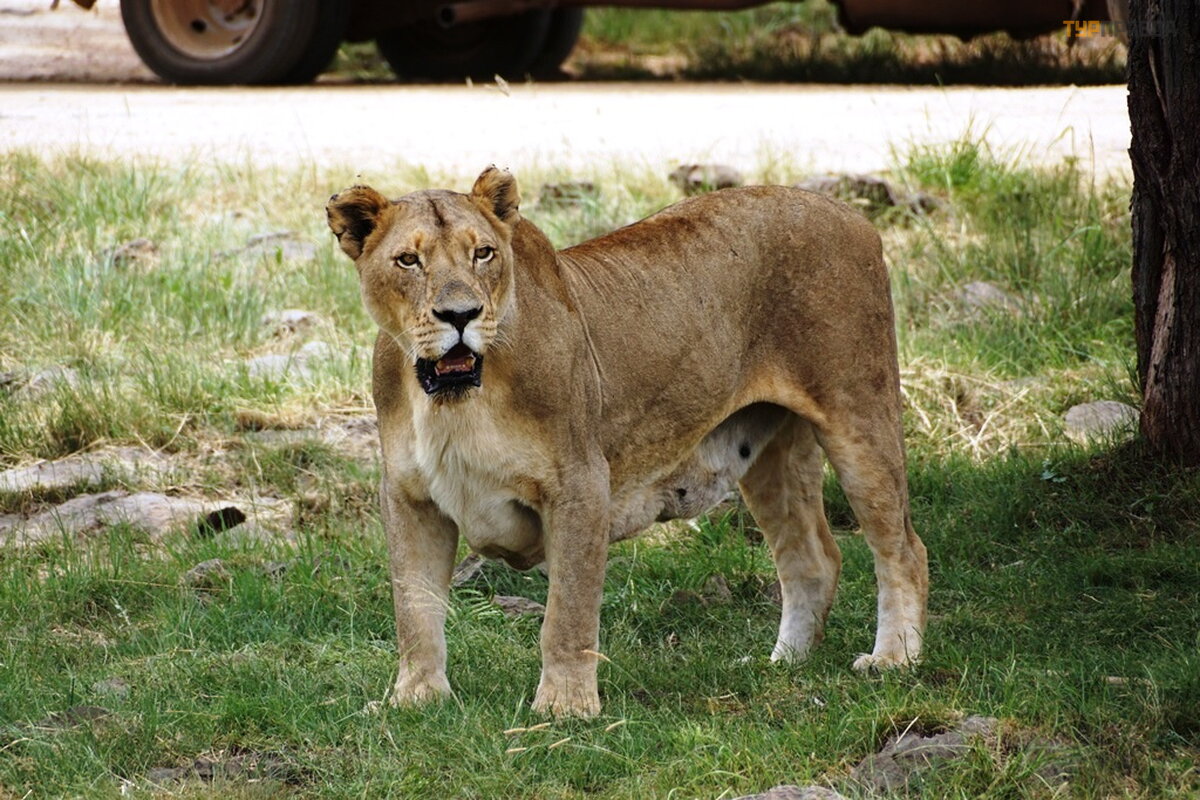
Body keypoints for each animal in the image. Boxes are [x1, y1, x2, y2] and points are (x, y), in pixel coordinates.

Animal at [326, 167, 928, 717]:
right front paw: (415, 700)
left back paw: (894, 659)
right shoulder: (410, 497)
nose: (460, 314)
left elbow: (566, 612)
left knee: (903, 548)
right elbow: (414, 607)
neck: (454, 404)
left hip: (859, 415)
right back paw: (783, 664)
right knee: (813, 558)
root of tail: (852, 216)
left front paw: (564, 708)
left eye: (484, 254)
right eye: (408, 261)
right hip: (771, 452)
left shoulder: (580, 484)